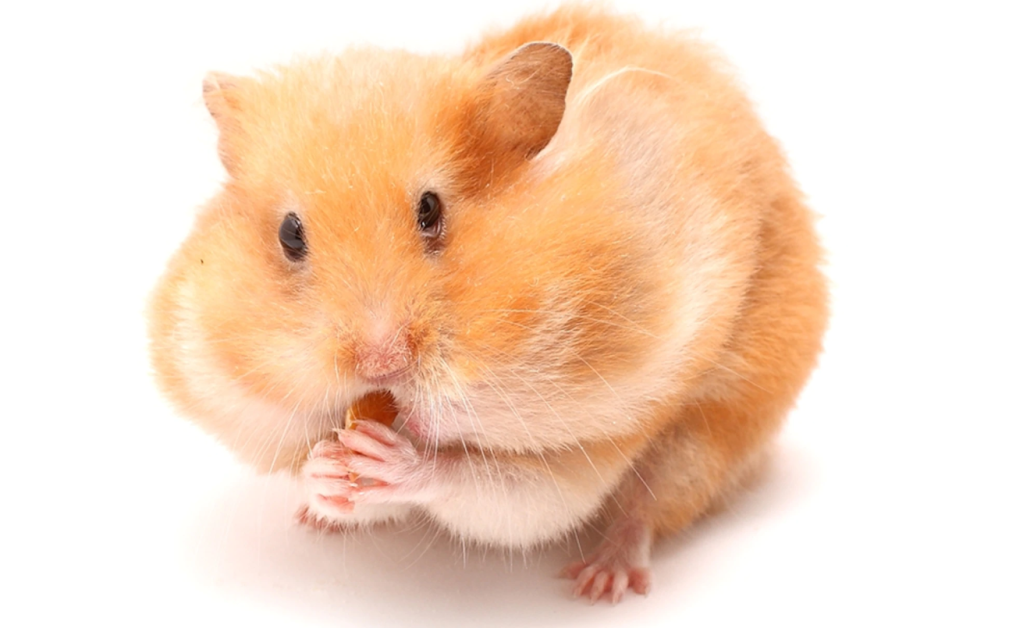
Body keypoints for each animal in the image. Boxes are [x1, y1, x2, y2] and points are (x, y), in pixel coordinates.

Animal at [148, 5, 828, 603]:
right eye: (291, 235)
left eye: (431, 210)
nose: (380, 362)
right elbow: (331, 472)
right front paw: (326, 476)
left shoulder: (581, 455)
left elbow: (494, 489)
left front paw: (396, 454)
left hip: (708, 438)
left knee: (645, 510)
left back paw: (601, 583)